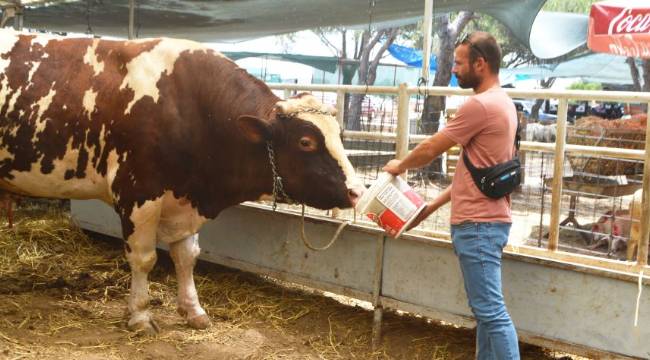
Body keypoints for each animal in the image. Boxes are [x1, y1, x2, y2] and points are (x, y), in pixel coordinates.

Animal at [0, 29, 364, 334]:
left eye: (340, 134)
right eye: (306, 142)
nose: (357, 191)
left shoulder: (186, 198)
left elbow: (187, 256)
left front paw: (193, 310)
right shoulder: (138, 193)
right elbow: (144, 257)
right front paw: (140, 315)